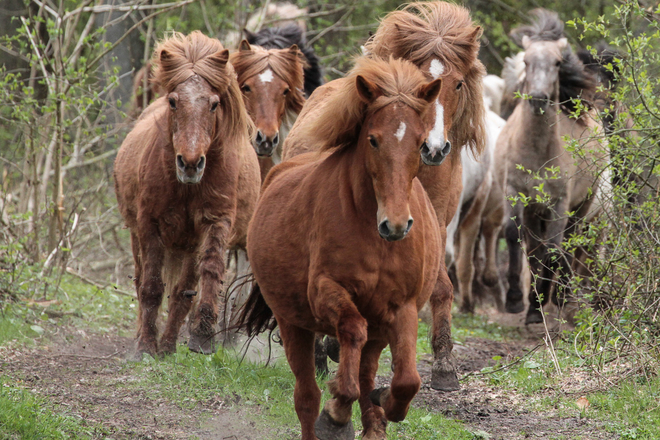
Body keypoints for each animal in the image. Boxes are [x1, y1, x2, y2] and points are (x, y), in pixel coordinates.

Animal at [113, 31, 260, 358]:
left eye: (215, 104)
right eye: (173, 101)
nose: (190, 163)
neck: (188, 188)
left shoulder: (214, 223)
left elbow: (206, 275)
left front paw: (202, 336)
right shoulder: (150, 224)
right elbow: (151, 287)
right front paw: (145, 346)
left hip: (189, 244)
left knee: (183, 291)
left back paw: (169, 345)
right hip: (136, 235)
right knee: (141, 278)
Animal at [240, 55, 440, 440]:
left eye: (421, 142)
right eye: (373, 140)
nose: (396, 225)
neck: (374, 236)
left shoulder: (403, 307)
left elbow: (407, 380)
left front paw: (385, 401)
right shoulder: (326, 291)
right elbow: (351, 333)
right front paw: (336, 414)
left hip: (377, 332)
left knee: (366, 372)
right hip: (293, 324)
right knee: (306, 396)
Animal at [282, 1, 488, 390]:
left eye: (457, 83)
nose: (434, 149)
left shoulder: (437, 226)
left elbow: (441, 286)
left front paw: (444, 365)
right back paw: (320, 354)